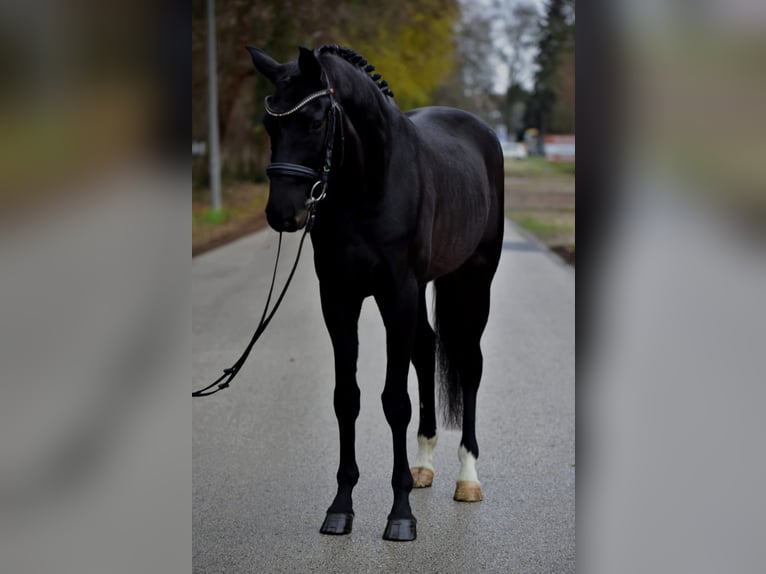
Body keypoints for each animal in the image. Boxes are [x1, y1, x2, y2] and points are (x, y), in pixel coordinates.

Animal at [246, 44, 504, 541]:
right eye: (270, 123)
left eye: (315, 121)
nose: (283, 213)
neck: (369, 182)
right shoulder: (339, 298)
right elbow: (347, 398)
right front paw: (341, 507)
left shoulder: (395, 294)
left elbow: (394, 402)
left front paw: (400, 514)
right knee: (426, 347)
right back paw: (424, 464)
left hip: (473, 281)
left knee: (470, 364)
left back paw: (468, 477)